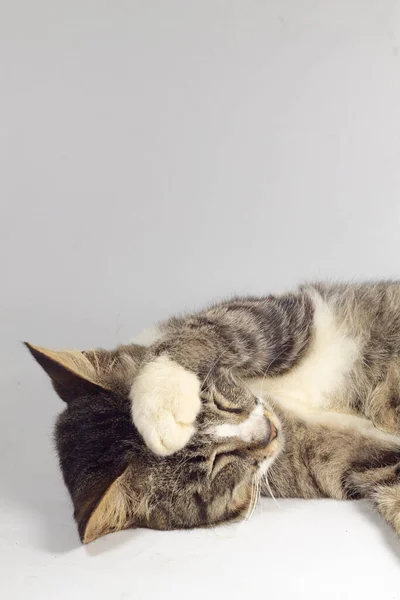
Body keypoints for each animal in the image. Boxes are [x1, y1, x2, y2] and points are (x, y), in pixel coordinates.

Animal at [26, 282, 400, 544]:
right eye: (217, 462)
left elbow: (210, 331)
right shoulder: (353, 460)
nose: (268, 430)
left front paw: (160, 403)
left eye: (215, 401)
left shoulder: (281, 319)